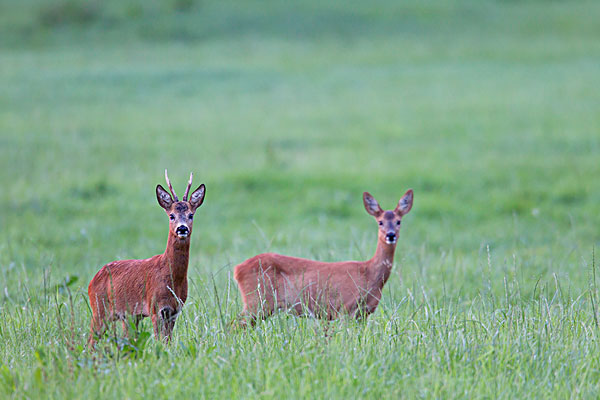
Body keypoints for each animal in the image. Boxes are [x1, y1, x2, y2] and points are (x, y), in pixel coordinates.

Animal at [85, 170, 205, 346]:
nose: (182, 229)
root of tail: (93, 280)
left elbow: (167, 342)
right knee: (90, 341)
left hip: (129, 316)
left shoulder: (174, 311)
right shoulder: (155, 307)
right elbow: (160, 342)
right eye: (171, 215)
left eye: (191, 215)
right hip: (99, 308)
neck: (172, 279)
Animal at [233, 189, 412, 324]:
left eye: (399, 221)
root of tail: (237, 269)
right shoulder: (345, 308)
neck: (370, 274)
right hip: (257, 301)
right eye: (380, 222)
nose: (390, 235)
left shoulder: (363, 313)